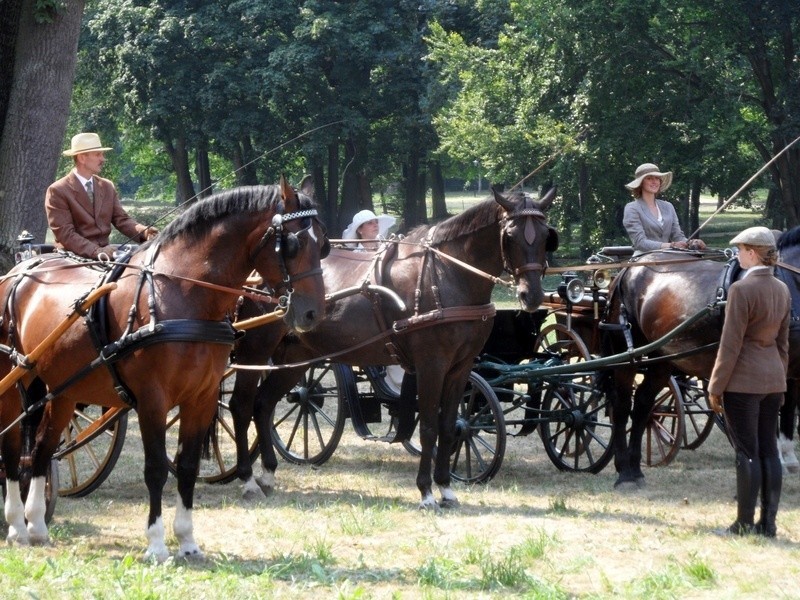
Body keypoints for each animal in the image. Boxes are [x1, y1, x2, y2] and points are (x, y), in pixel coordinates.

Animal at [0, 179, 326, 564]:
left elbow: (186, 466)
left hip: (62, 390)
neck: (182, 295)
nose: (313, 314)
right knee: (12, 447)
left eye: (324, 245)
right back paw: (16, 525)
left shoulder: (201, 397)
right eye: (293, 244)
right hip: (14, 384)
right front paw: (156, 544)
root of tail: (20, 270)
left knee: (41, 447)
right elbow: (156, 469)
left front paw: (187, 540)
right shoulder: (153, 400)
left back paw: (36, 524)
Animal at [228, 186, 560, 506]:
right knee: (241, 405)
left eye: (546, 236)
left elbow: (449, 424)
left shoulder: (461, 368)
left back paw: (268, 473)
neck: (447, 274)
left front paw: (446, 488)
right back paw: (247, 477)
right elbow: (428, 426)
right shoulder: (431, 365)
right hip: (255, 350)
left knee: (264, 404)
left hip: (297, 357)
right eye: (510, 236)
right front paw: (426, 492)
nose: (531, 295)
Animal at [604, 227, 800, 490]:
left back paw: (635, 469)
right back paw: (624, 473)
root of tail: (628, 268)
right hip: (629, 356)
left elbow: (787, 411)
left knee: (643, 404)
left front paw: (787, 459)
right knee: (622, 405)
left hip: (662, 358)